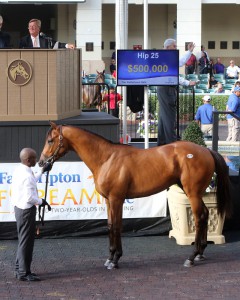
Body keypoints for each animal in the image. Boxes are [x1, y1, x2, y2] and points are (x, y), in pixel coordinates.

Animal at [39, 122, 232, 270]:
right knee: (205, 215)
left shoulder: (116, 199)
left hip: (192, 193)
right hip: (194, 193)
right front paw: (110, 258)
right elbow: (110, 225)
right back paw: (200, 253)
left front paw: (115, 260)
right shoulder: (109, 201)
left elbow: (116, 226)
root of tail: (206, 151)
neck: (107, 158)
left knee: (199, 218)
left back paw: (191, 257)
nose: (41, 162)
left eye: (50, 140)